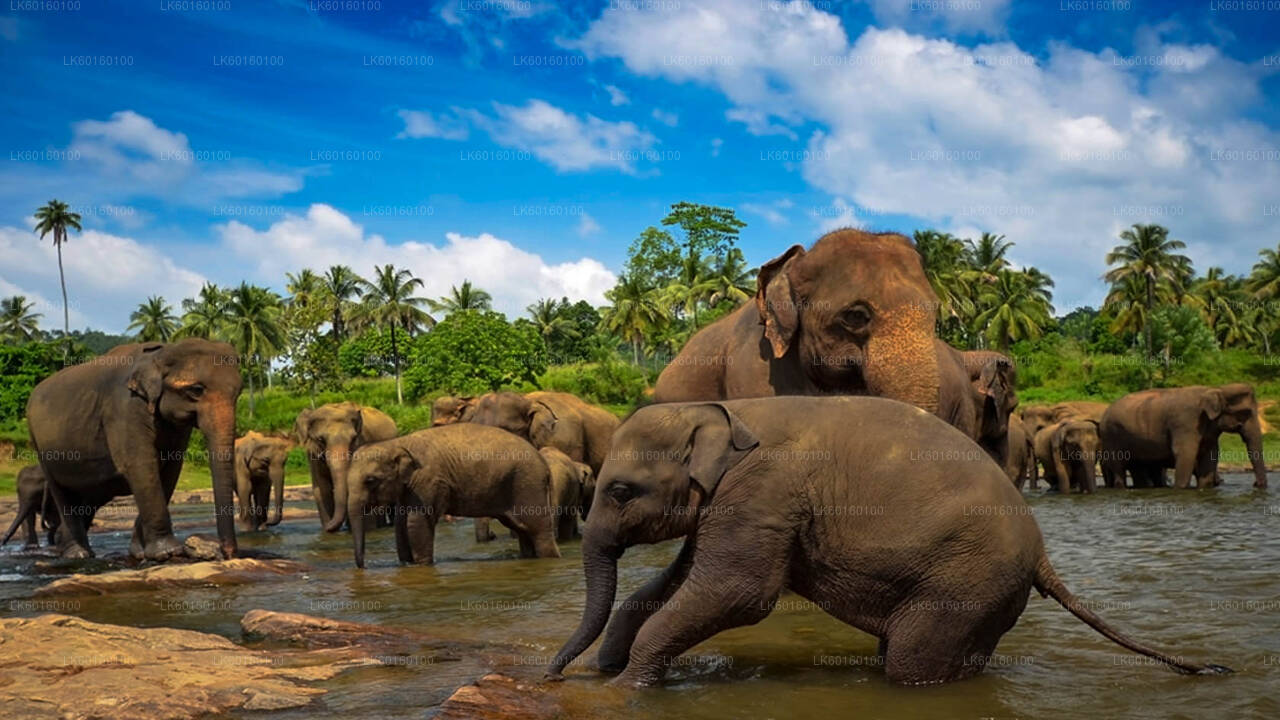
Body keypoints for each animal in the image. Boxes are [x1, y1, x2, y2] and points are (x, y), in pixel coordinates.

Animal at [26, 339, 241, 560]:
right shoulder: (124, 409)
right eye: (196, 390)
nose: (228, 553)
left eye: (239, 392)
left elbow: (170, 471)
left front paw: (139, 553)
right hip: (39, 446)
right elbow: (141, 467)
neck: (161, 353)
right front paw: (168, 553)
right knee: (62, 494)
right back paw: (78, 554)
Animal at [345, 423, 561, 568]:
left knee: (538, 530)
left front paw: (422, 566)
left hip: (528, 485)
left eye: (370, 480)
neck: (397, 443)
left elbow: (417, 522)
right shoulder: (409, 487)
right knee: (522, 530)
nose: (363, 566)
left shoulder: (428, 481)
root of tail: (545, 464)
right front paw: (406, 564)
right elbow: (400, 523)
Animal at [545, 397, 1228, 687]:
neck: (719, 410)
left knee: (911, 664)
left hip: (966, 581)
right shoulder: (732, 503)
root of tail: (1042, 554)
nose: (553, 675)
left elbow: (738, 593)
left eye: (621, 491)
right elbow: (682, 579)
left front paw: (627, 687)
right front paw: (611, 668)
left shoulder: (761, 492)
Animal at [1100, 384, 1267, 490]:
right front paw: (1180, 489)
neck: (1217, 388)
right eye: (1247, 413)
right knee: (1119, 469)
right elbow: (1185, 454)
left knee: (1138, 468)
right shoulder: (1186, 423)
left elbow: (1210, 456)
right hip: (1111, 437)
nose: (1256, 484)